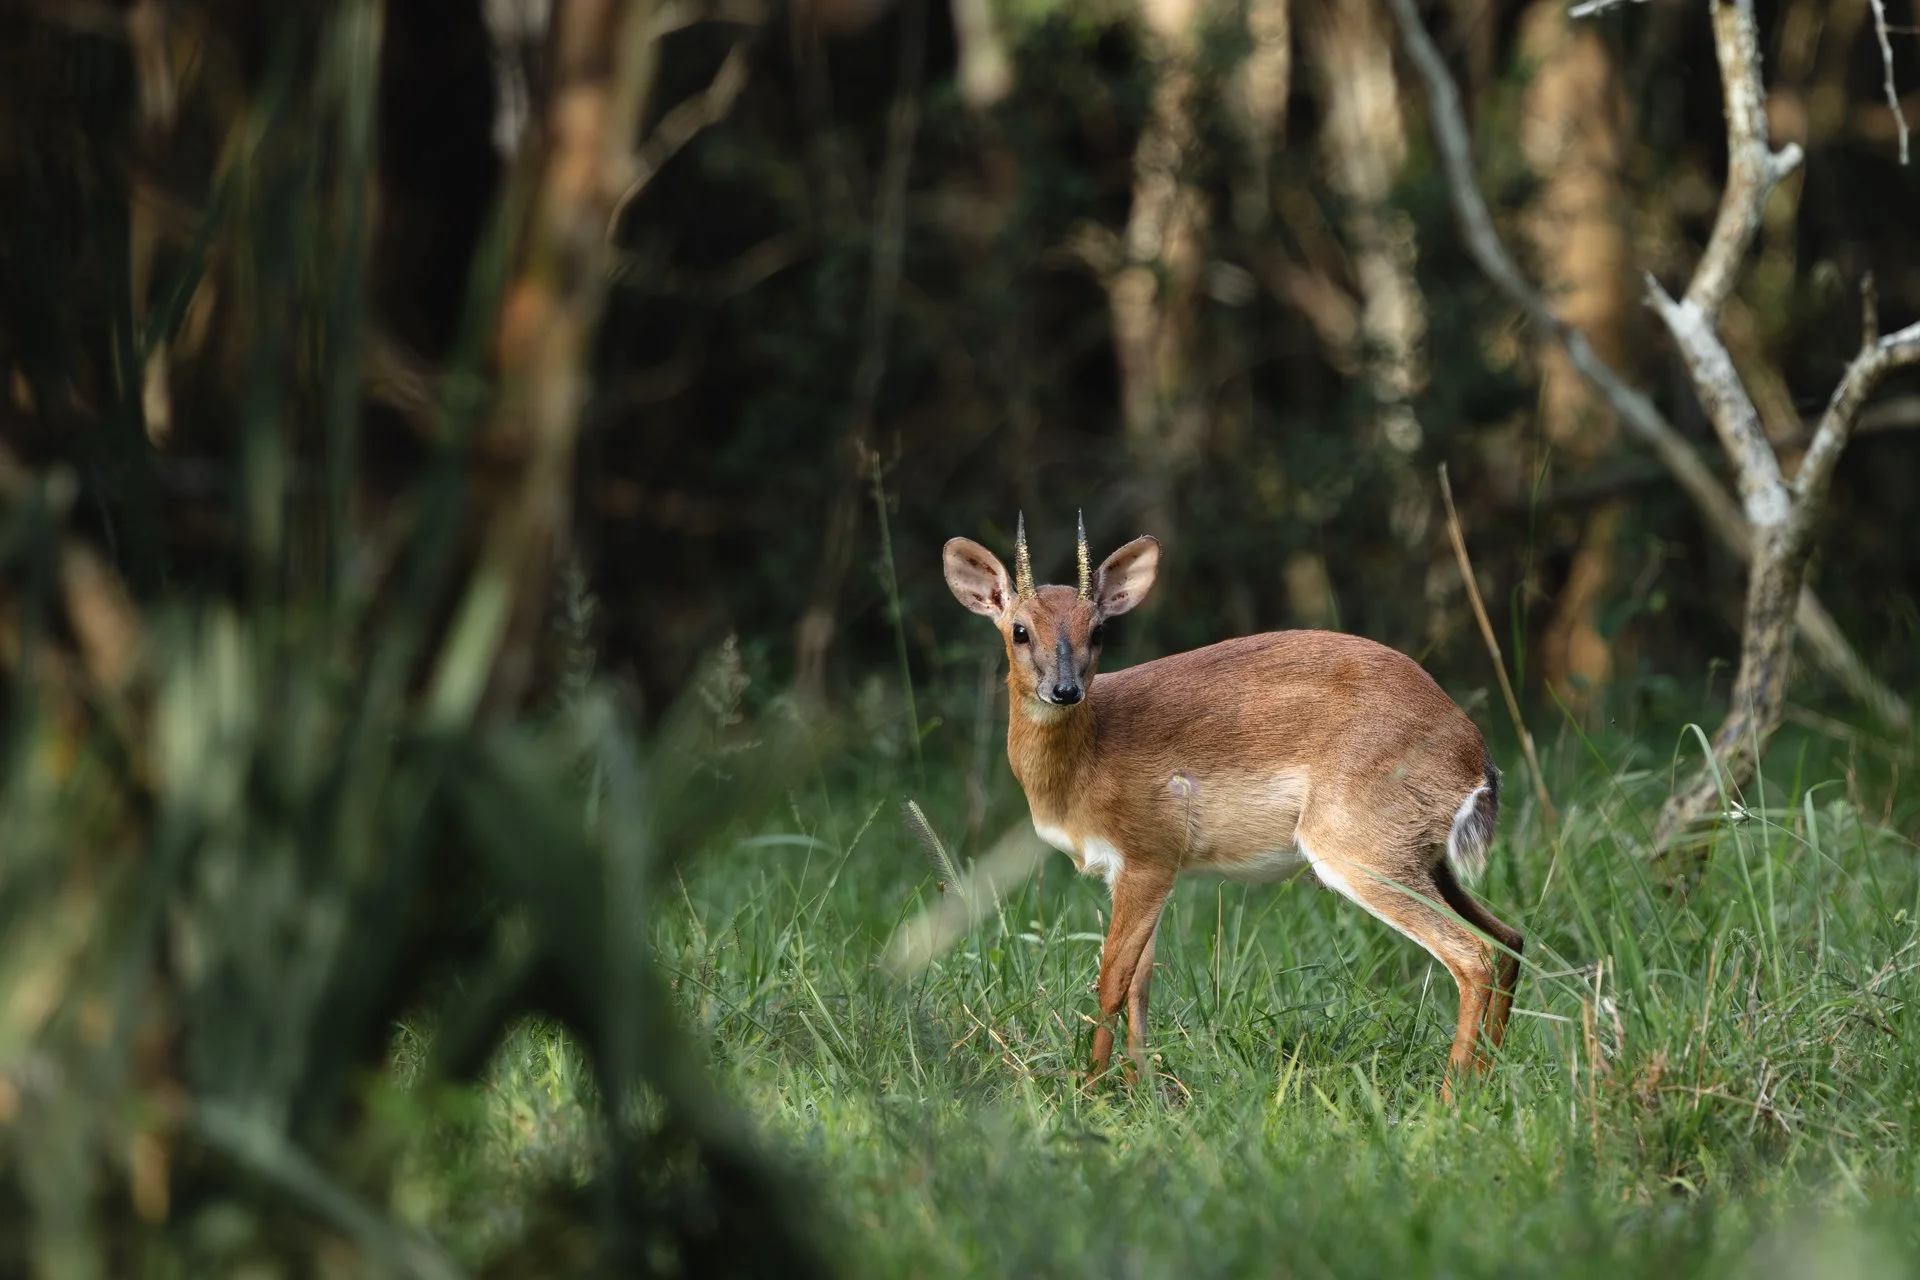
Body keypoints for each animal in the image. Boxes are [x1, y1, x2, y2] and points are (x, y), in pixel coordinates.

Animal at [942, 513, 1522, 1091]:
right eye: (1020, 630)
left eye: (1098, 630)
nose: (1064, 690)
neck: (1089, 756)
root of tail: (1475, 755)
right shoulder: (1132, 871)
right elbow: (1140, 983)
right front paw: (1140, 1087)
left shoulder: (1149, 856)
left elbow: (1112, 980)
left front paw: (1089, 1088)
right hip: (1425, 858)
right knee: (1508, 940)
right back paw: (1486, 1081)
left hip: (1359, 848)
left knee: (1473, 955)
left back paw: (1451, 1095)